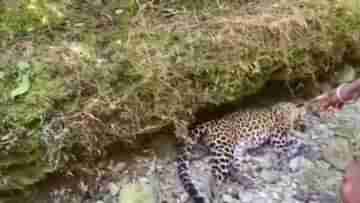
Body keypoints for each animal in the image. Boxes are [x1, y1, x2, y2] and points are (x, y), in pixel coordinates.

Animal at [176, 101, 320, 203]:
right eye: (303, 116)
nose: (305, 125)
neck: (290, 110)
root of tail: (212, 122)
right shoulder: (277, 136)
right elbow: (291, 142)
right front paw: (295, 148)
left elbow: (294, 140)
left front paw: (297, 147)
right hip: (224, 150)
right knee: (214, 176)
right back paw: (217, 195)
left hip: (236, 150)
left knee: (234, 168)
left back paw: (247, 181)